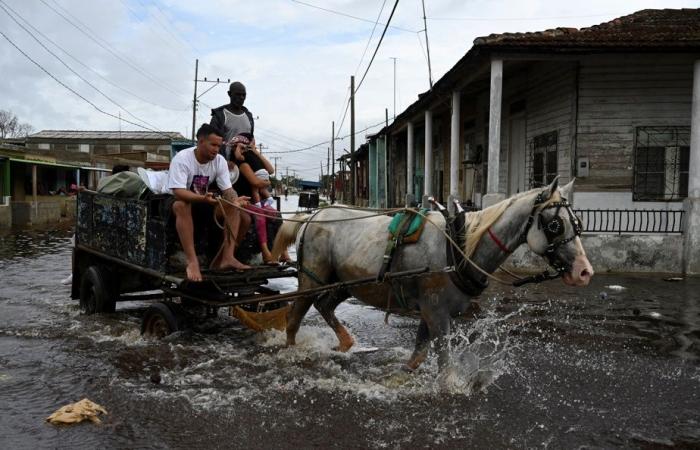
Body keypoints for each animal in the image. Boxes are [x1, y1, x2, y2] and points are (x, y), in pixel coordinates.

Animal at [270, 178, 592, 370]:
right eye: (555, 225)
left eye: (577, 223)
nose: (584, 272)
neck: (459, 247)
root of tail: (311, 216)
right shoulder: (437, 312)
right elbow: (444, 361)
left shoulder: (430, 310)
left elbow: (419, 354)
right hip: (312, 278)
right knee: (296, 315)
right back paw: (291, 349)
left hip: (345, 283)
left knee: (324, 305)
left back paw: (346, 343)